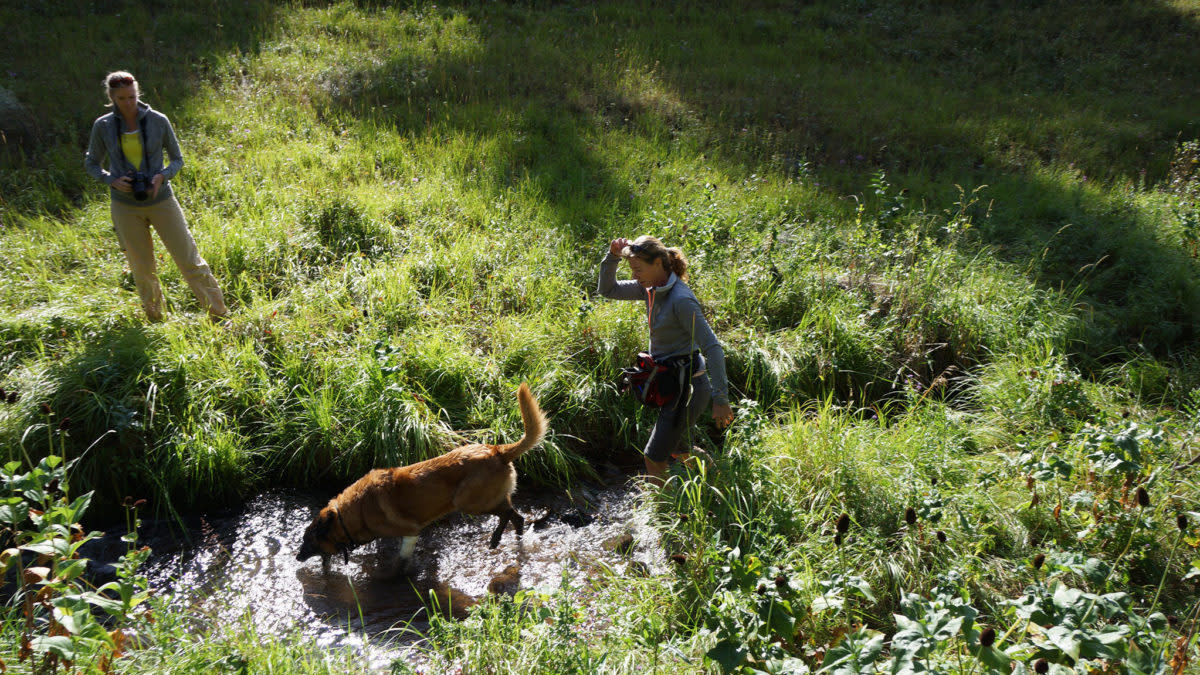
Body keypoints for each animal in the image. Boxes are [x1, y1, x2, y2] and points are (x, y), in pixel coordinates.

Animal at [296, 381, 549, 569]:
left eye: (308, 540)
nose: (297, 557)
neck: (351, 513)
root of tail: (498, 450)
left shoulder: (410, 533)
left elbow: (402, 559)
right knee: (517, 517)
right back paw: (514, 540)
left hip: (468, 502)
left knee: (506, 514)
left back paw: (495, 539)